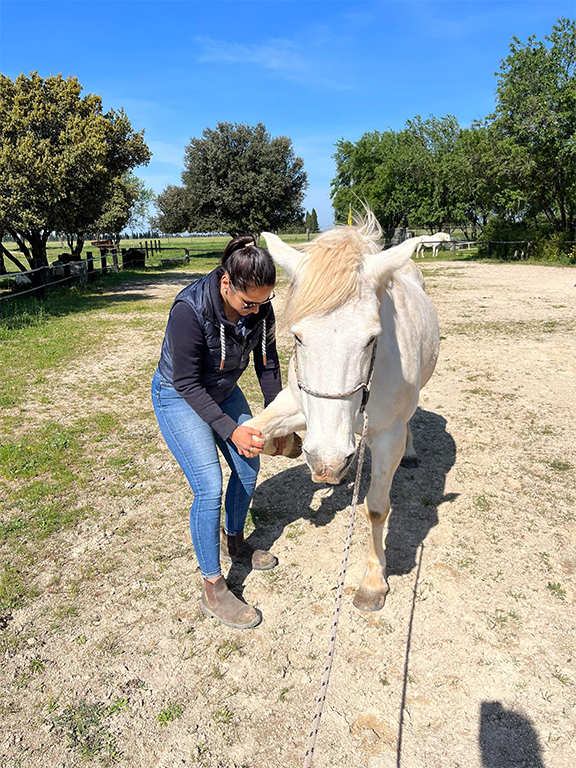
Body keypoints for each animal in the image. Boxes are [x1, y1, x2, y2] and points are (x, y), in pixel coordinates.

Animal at [246, 213, 440, 611]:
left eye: (371, 339)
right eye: (297, 336)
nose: (328, 464)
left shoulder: (386, 436)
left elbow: (377, 508)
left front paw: (373, 582)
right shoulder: (299, 406)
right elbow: (256, 424)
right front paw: (277, 444)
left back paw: (410, 453)